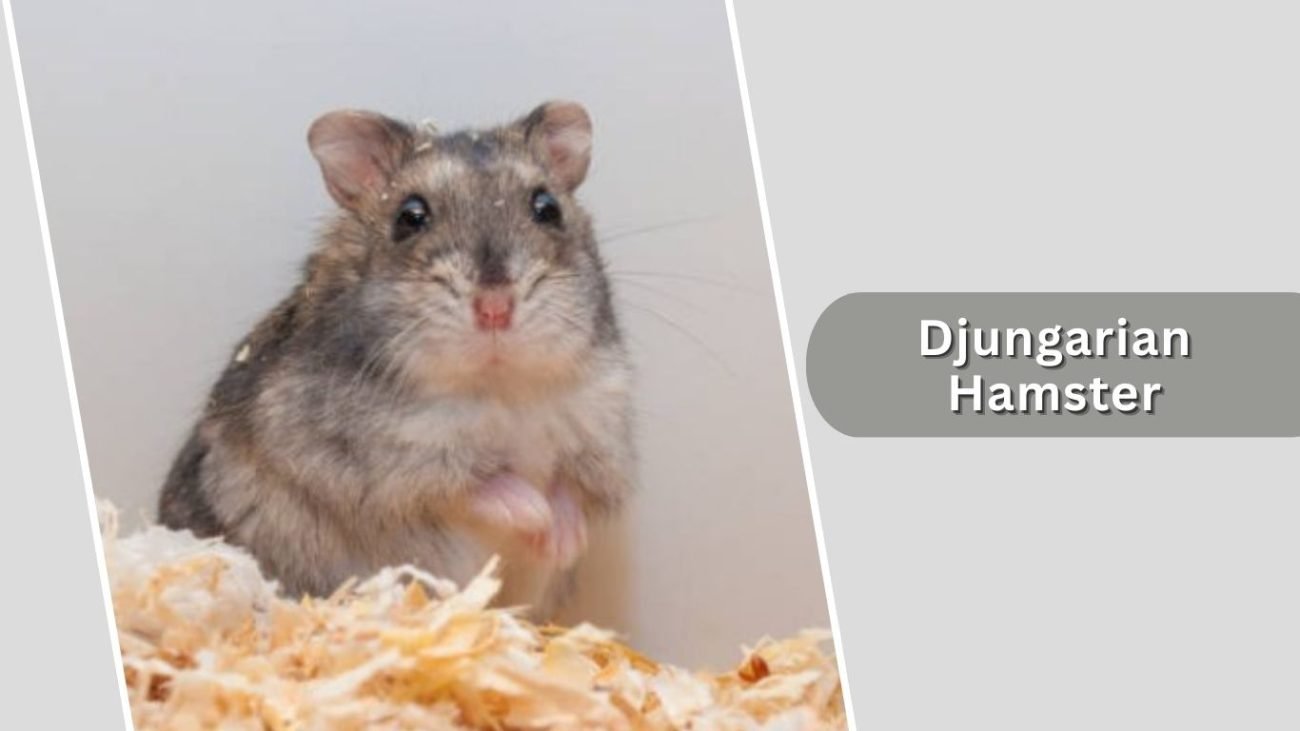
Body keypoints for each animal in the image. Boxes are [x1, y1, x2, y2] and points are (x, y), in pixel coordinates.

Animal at [157, 101, 635, 616]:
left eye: (547, 208)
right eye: (410, 217)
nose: (495, 308)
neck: (498, 384)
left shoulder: (593, 433)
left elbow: (569, 489)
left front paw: (564, 536)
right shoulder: (386, 464)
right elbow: (472, 486)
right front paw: (532, 511)